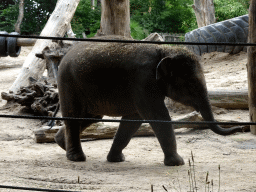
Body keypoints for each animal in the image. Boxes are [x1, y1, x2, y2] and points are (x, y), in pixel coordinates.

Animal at [54, 35, 242, 166]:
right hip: (68, 82)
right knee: (74, 115)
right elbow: (157, 116)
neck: (164, 50)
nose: (239, 127)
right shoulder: (143, 81)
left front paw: (117, 159)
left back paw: (61, 143)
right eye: (191, 84)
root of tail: (65, 55)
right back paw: (76, 158)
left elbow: (134, 119)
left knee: (90, 117)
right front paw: (178, 162)